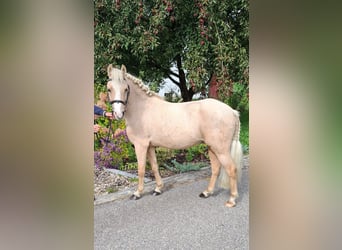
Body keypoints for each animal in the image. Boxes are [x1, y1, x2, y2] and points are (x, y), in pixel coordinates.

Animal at [107, 64, 243, 207]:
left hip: (221, 149)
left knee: (231, 169)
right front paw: (158, 189)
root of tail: (232, 111)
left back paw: (232, 200)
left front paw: (137, 193)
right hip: (212, 147)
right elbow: (154, 167)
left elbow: (141, 169)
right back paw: (207, 192)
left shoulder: (141, 146)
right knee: (216, 168)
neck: (142, 110)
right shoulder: (150, 146)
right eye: (109, 89)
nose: (118, 113)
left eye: (126, 89)